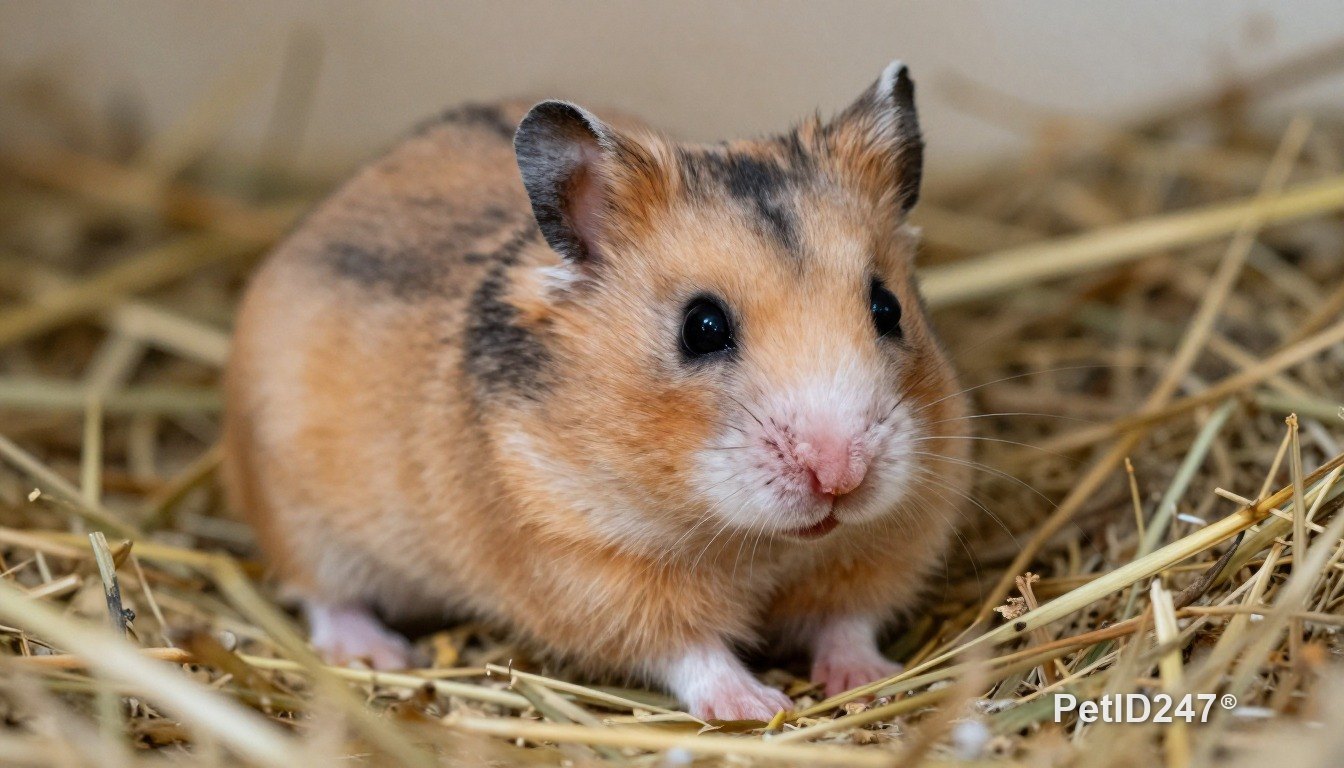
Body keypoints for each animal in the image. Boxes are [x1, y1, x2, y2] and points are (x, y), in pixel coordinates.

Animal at [222, 60, 969, 721]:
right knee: (323, 596)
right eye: (701, 327)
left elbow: (847, 622)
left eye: (887, 308)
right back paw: (380, 653)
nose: (840, 475)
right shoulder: (590, 572)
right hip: (300, 515)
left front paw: (870, 681)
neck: (760, 544)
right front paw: (757, 708)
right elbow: (692, 651)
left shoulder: (895, 537)